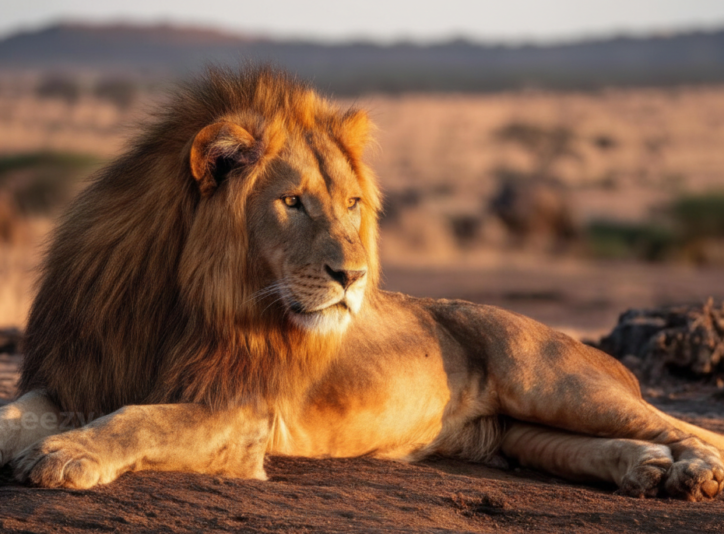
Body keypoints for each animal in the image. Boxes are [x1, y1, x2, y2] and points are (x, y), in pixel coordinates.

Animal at [0, 67, 723, 500]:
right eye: (292, 202)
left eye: (352, 204)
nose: (353, 276)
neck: (177, 298)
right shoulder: (77, 373)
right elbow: (15, 411)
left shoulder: (239, 413)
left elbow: (140, 416)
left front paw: (63, 453)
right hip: (514, 433)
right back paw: (644, 467)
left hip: (550, 380)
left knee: (689, 427)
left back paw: (694, 472)